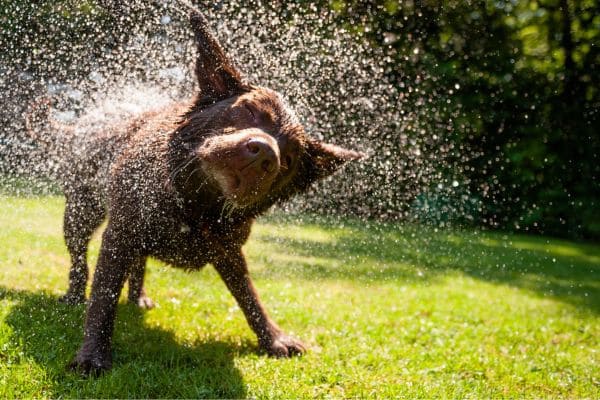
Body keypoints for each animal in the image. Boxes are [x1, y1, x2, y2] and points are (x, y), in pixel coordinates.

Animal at [30, 10, 360, 374]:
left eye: (288, 160)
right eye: (249, 111)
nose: (265, 154)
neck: (194, 204)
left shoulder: (229, 251)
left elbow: (249, 296)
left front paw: (273, 338)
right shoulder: (120, 235)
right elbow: (103, 298)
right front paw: (92, 356)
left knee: (138, 262)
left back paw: (138, 296)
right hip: (81, 212)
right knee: (79, 260)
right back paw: (75, 294)